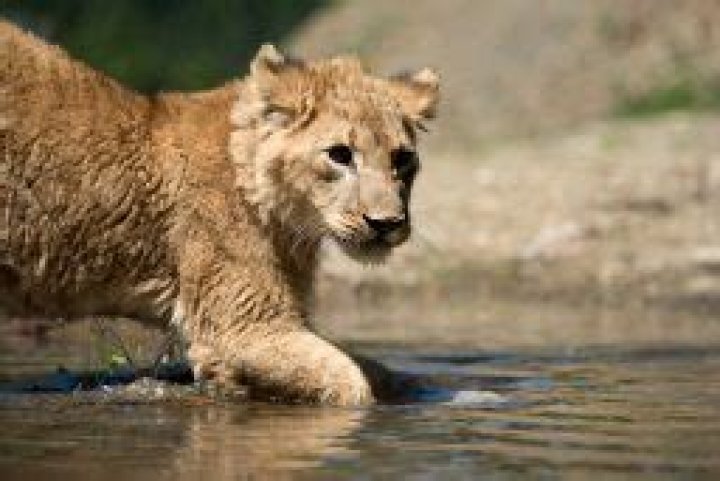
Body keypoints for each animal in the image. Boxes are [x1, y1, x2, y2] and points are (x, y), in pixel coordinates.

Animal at [0, 20, 438, 405]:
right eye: (340, 155)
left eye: (403, 159)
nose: (386, 224)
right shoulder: (245, 328)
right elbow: (351, 382)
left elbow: (384, 372)